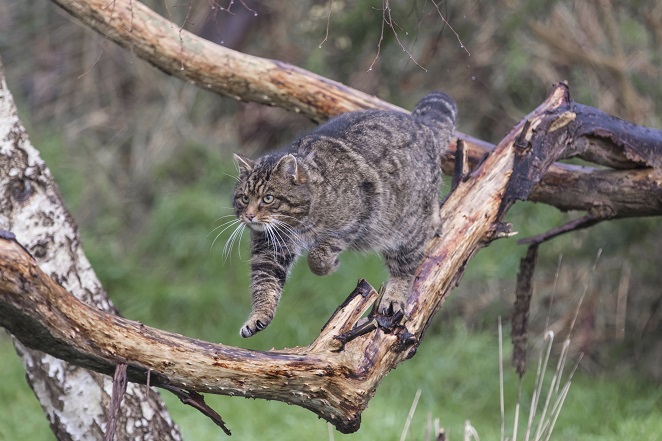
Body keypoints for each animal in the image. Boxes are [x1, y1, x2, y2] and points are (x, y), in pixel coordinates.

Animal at [230, 91, 456, 336]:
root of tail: (420, 123)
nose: (249, 215)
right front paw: (258, 316)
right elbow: (264, 284)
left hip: (405, 227)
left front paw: (330, 265)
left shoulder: (354, 220)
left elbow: (318, 255)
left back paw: (395, 295)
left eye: (268, 198)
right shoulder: (268, 250)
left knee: (405, 267)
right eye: (244, 198)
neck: (297, 223)